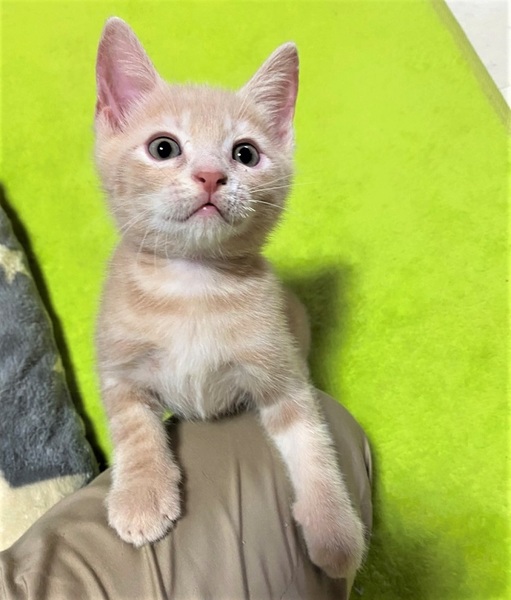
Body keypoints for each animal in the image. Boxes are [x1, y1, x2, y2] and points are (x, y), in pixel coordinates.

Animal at [94, 16, 365, 579]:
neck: (192, 287)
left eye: (245, 154)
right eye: (163, 148)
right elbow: (133, 427)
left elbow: (314, 444)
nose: (211, 175)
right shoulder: (118, 366)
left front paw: (334, 529)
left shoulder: (283, 377)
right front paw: (141, 495)